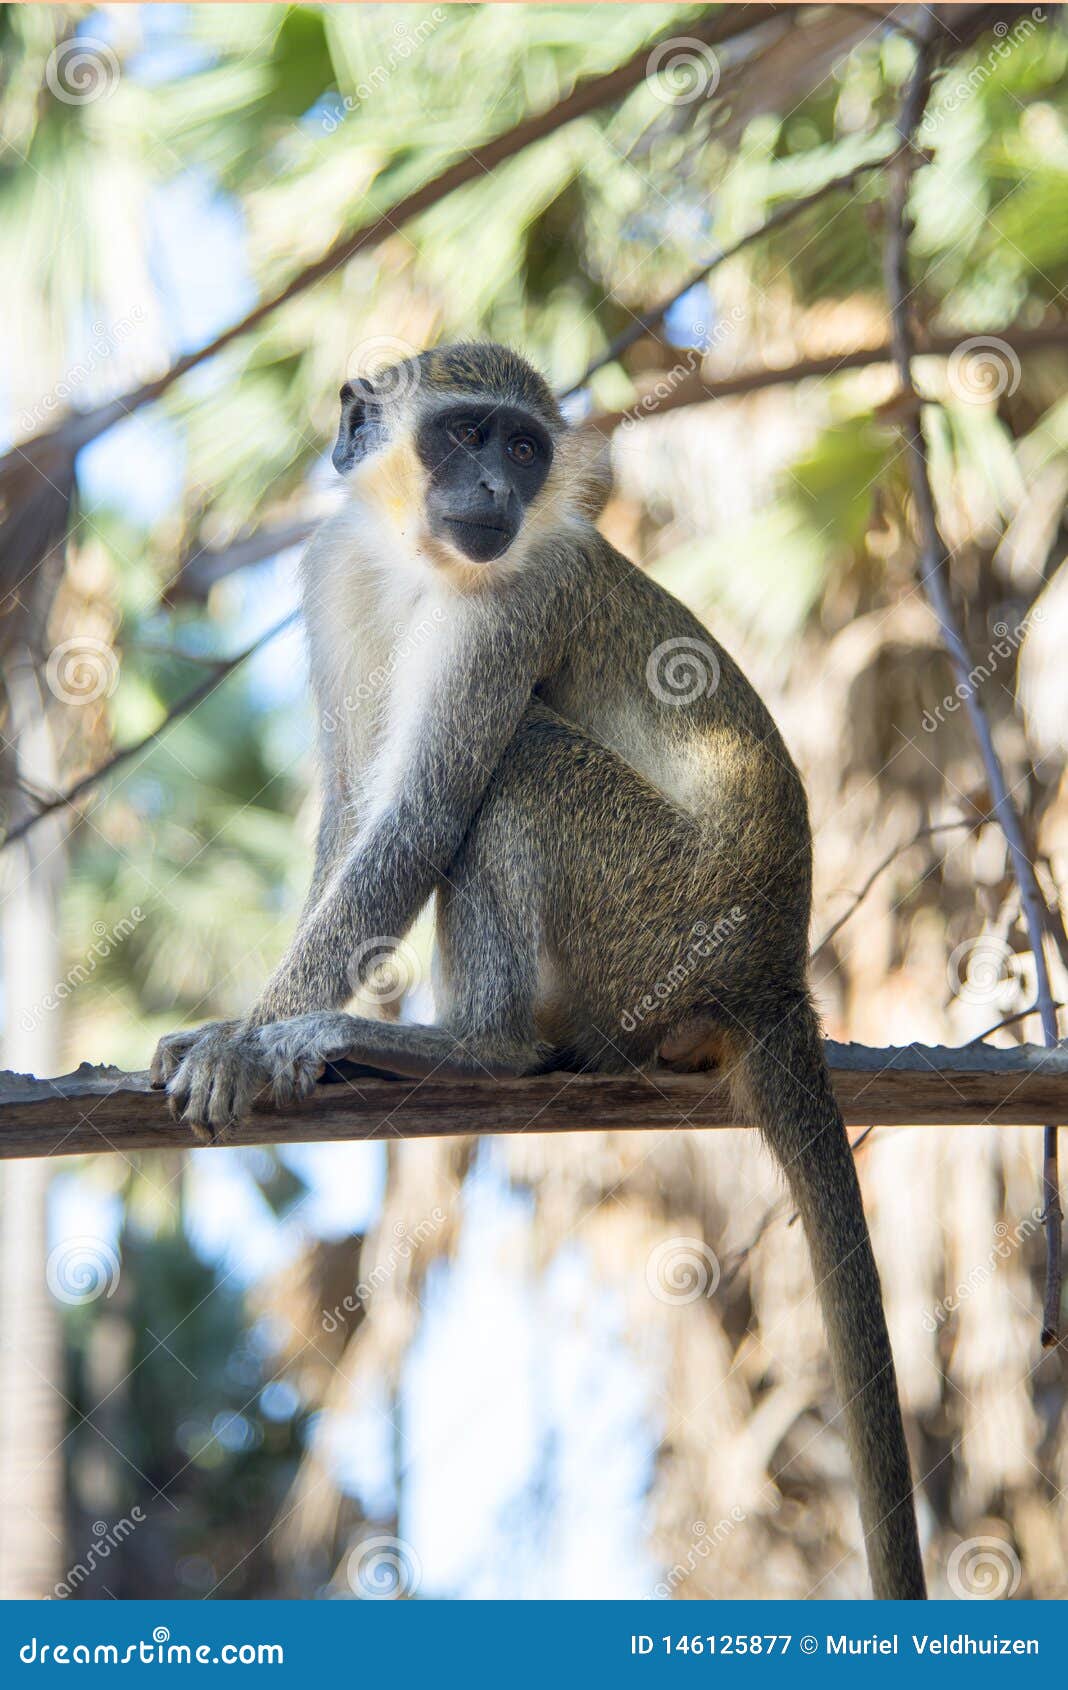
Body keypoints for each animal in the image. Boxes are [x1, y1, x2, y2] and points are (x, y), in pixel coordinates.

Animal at [150, 339, 926, 1595]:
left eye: (522, 447)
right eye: (464, 435)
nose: (494, 492)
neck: (409, 557)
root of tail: (774, 968)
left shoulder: (515, 604)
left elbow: (420, 815)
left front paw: (245, 1042)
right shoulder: (332, 571)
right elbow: (354, 811)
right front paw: (252, 1023)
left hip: (656, 915)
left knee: (517, 760)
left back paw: (477, 1046)